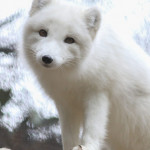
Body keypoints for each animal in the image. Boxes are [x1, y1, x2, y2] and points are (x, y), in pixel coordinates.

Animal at [20, 0, 150, 150]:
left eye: (69, 40)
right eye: (43, 32)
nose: (47, 58)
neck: (72, 78)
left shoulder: (98, 93)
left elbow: (93, 128)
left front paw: (87, 146)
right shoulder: (65, 103)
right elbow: (68, 136)